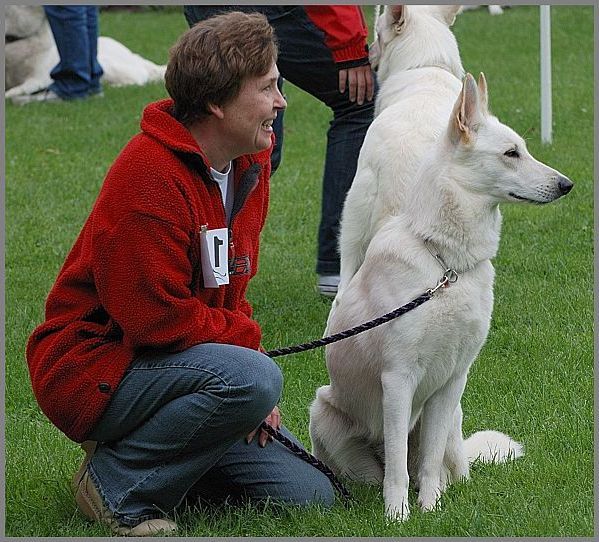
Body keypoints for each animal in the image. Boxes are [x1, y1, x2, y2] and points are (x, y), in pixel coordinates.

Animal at [312, 3, 576, 524]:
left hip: (453, 415)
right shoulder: (398, 382)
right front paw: (398, 517)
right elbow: (398, 465)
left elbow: (428, 463)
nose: (567, 185)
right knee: (373, 468)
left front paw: (430, 510)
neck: (446, 265)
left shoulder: (450, 384)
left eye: (525, 148)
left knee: (451, 463)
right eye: (511, 153)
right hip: (325, 415)